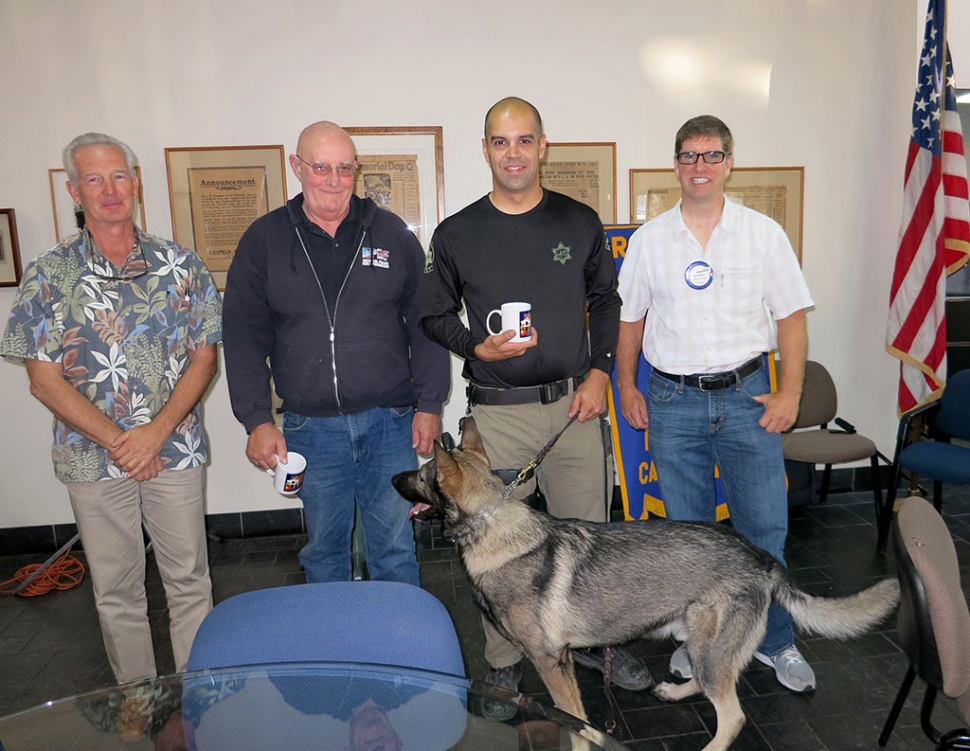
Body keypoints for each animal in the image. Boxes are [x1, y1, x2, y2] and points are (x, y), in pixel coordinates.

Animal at [390, 418, 896, 751]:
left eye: (422, 473)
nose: (394, 476)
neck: (493, 525)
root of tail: (759, 557)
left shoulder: (552, 662)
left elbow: (575, 722)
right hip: (699, 642)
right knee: (712, 684)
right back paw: (675, 690)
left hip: (709, 648)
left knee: (731, 714)